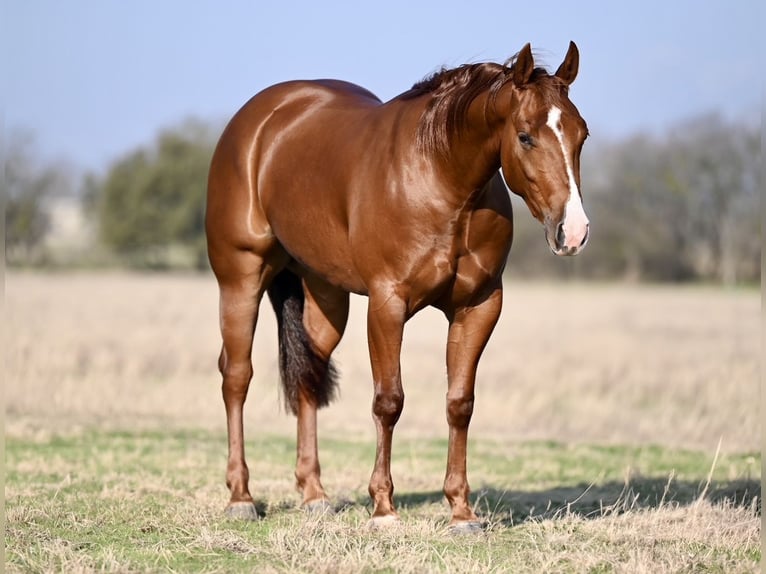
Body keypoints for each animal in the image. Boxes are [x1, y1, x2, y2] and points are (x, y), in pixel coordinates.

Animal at [207, 42, 592, 532]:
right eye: (525, 137)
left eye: (582, 135)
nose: (573, 232)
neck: (441, 178)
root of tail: (259, 119)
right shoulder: (388, 304)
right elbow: (389, 401)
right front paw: (383, 509)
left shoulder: (479, 306)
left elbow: (460, 403)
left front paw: (461, 511)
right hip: (240, 278)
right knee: (236, 377)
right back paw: (241, 497)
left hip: (325, 296)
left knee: (309, 376)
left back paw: (314, 494)